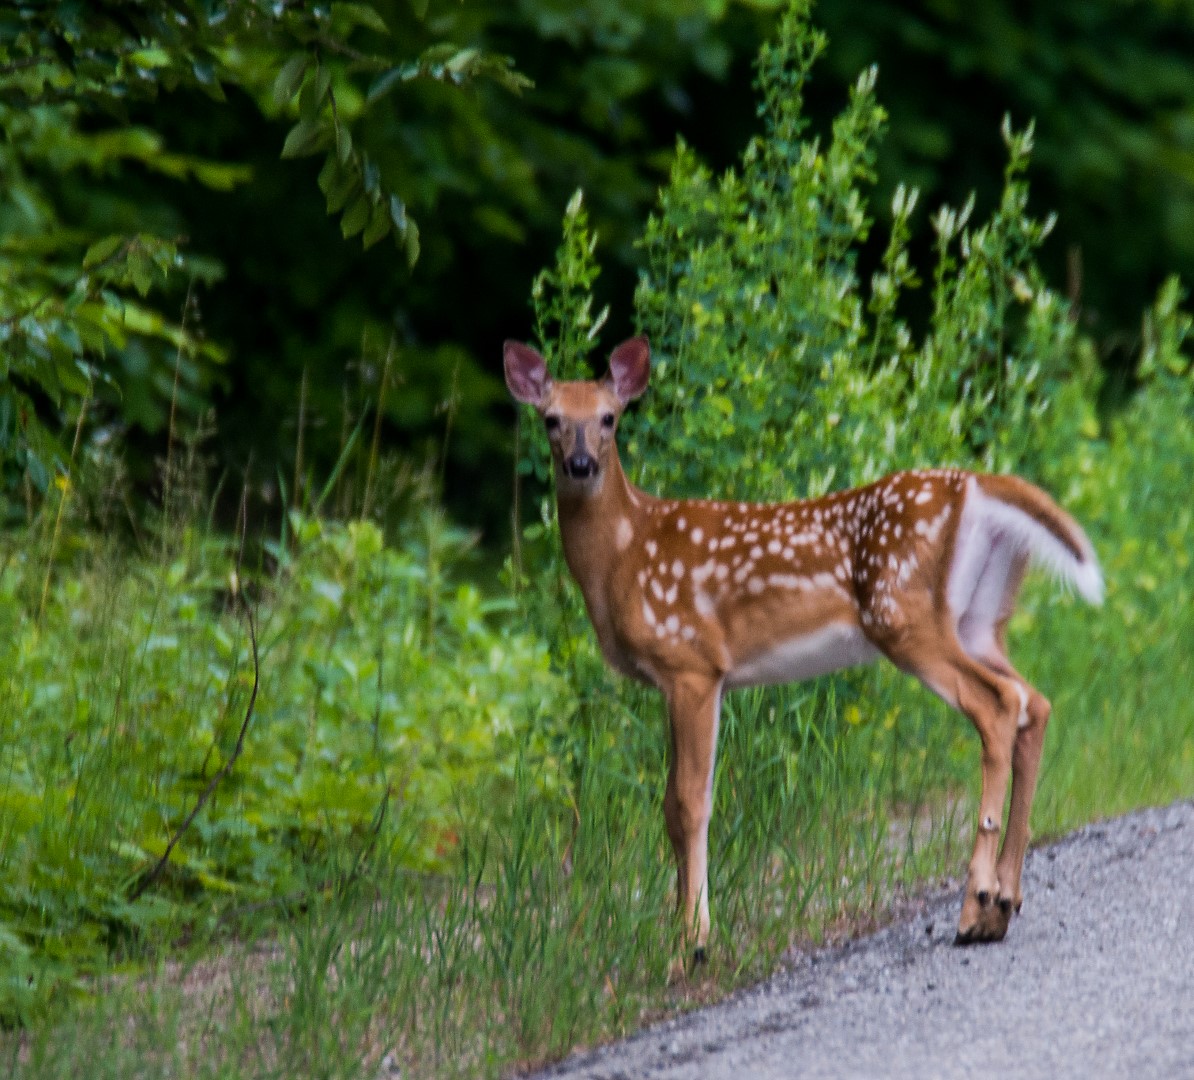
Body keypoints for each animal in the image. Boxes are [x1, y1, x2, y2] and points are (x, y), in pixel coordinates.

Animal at [504, 333, 1103, 966]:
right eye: (550, 419)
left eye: (609, 418)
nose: (580, 464)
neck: (623, 554)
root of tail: (976, 485)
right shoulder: (679, 678)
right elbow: (669, 805)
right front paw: (679, 930)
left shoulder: (692, 662)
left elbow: (690, 803)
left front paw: (693, 942)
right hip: (979, 623)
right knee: (1032, 701)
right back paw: (1003, 902)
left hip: (905, 616)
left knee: (998, 705)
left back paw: (976, 904)